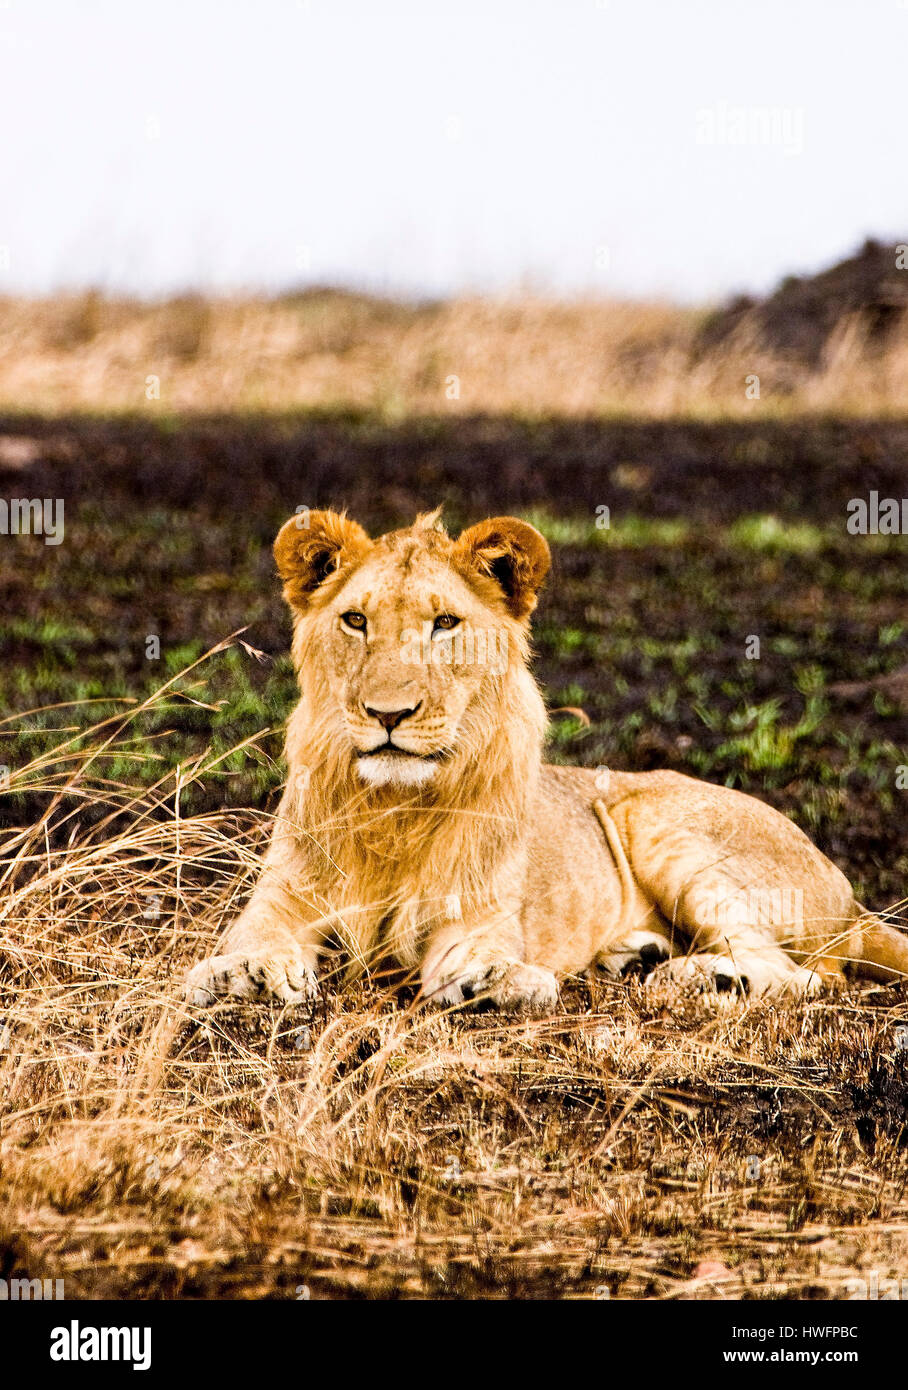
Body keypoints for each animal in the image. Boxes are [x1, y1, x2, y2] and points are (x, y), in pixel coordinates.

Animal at [185, 509, 908, 1013]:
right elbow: (251, 937)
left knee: (802, 974)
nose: (390, 714)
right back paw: (640, 958)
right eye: (355, 621)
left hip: (664, 825)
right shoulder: (283, 896)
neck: (393, 811)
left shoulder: (478, 909)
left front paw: (491, 979)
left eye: (445, 624)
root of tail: (852, 897)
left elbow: (482, 951)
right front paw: (246, 973)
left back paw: (693, 978)